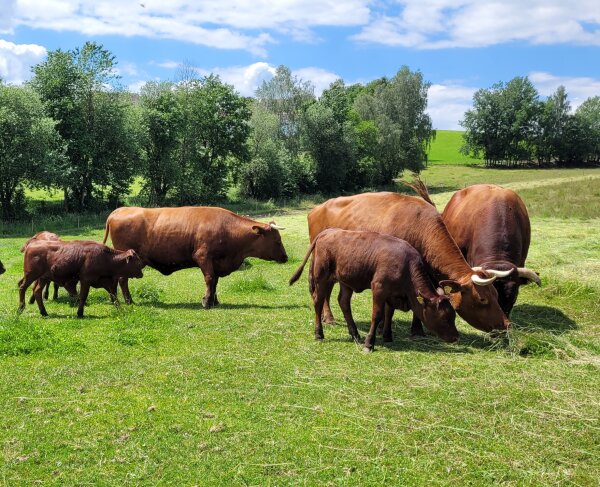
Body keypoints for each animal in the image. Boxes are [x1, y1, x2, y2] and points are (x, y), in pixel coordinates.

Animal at [103, 207, 288, 308]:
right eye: (277, 241)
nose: (285, 258)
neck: (228, 229)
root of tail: (120, 210)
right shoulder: (203, 257)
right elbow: (210, 279)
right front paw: (206, 301)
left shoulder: (215, 263)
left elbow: (215, 282)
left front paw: (214, 300)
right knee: (122, 280)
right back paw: (128, 301)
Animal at [290, 229, 460, 350]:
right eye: (444, 318)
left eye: (453, 316)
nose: (456, 337)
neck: (406, 267)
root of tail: (327, 231)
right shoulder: (379, 288)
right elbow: (377, 315)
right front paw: (369, 343)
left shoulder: (392, 294)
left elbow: (389, 313)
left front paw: (387, 336)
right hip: (322, 277)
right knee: (318, 302)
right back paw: (319, 333)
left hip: (346, 280)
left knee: (343, 302)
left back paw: (355, 334)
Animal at [310, 191, 510, 336]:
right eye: (482, 299)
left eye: (495, 294)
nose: (506, 323)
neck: (421, 229)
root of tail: (318, 207)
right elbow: (387, 307)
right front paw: (384, 328)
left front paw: (417, 329)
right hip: (323, 267)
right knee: (323, 293)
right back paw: (328, 318)